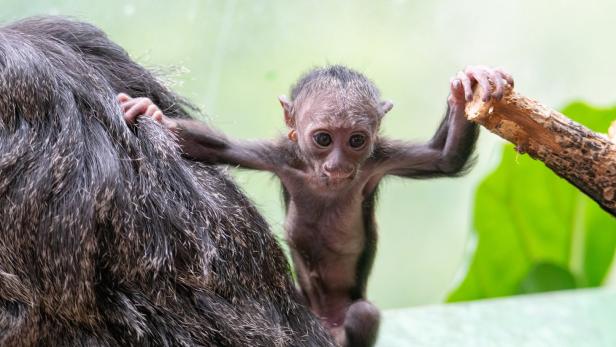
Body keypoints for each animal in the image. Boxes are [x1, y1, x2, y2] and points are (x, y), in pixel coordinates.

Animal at [118, 66, 512, 347]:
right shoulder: (281, 156)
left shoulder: (378, 161)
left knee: (363, 314)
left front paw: (467, 91)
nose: (337, 165)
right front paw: (153, 114)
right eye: (323, 139)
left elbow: (444, 158)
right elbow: (220, 149)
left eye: (356, 140)